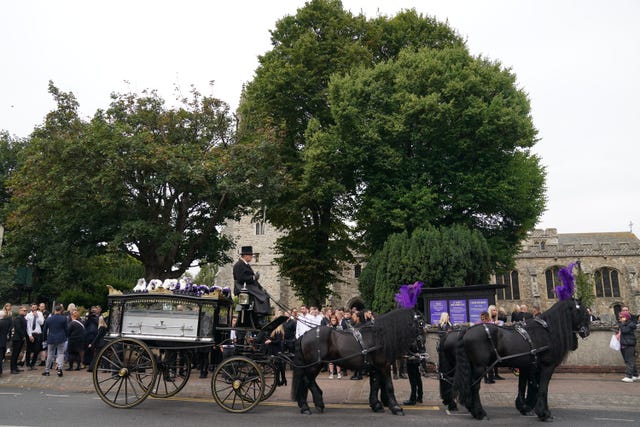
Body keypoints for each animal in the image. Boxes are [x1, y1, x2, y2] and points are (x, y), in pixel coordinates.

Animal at [292, 310, 422, 416]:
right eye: (421, 323)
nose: (420, 348)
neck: (380, 337)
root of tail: (304, 335)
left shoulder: (375, 367)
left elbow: (375, 385)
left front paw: (376, 405)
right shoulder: (384, 366)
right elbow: (389, 386)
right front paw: (395, 408)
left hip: (314, 365)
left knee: (307, 381)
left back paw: (311, 404)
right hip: (314, 365)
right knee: (307, 380)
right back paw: (310, 405)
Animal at [452, 300, 592, 422]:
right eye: (583, 312)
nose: (586, 331)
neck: (546, 331)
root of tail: (467, 330)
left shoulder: (527, 366)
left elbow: (525, 386)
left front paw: (525, 407)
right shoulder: (547, 366)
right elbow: (542, 388)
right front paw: (544, 413)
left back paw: (473, 409)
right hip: (480, 366)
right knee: (475, 387)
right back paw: (480, 413)